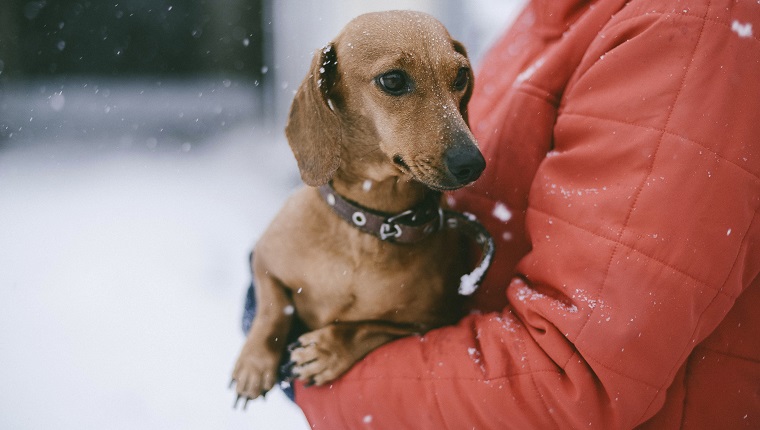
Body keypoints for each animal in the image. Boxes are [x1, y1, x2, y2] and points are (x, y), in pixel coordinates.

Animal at [229, 10, 486, 406]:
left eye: (460, 76)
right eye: (393, 80)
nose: (472, 163)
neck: (368, 224)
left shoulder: (428, 322)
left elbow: (370, 328)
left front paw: (327, 349)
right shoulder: (263, 258)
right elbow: (272, 308)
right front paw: (254, 364)